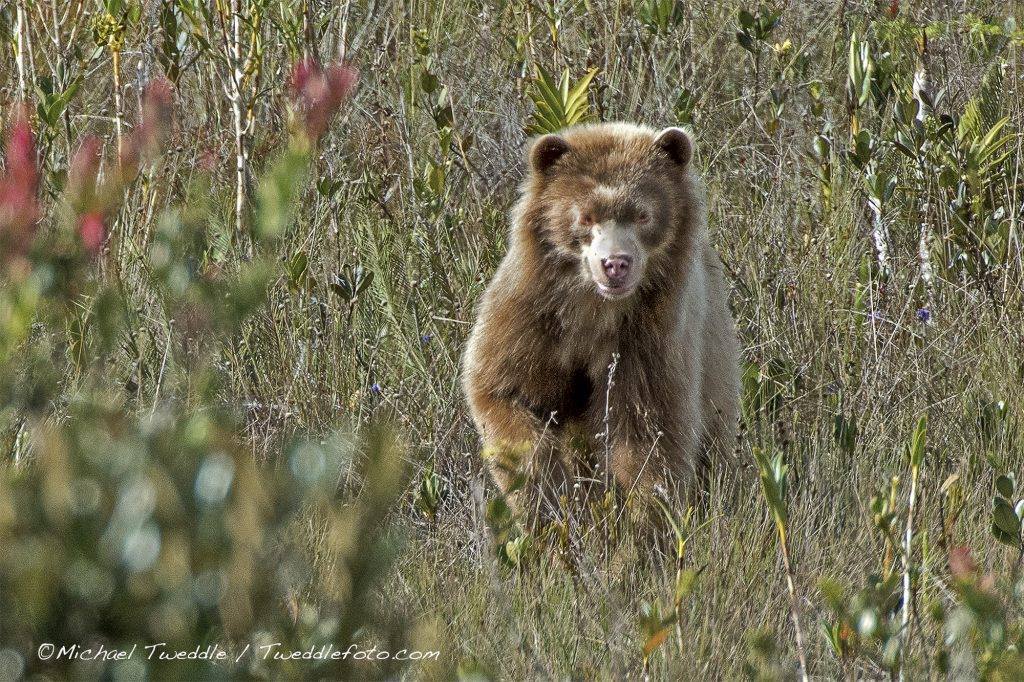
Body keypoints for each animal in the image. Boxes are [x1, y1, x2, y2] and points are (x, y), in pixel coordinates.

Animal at [462, 120, 737, 516]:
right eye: (585, 215)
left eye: (642, 214)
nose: (615, 263)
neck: (593, 310)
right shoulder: (531, 320)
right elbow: (504, 392)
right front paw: (548, 496)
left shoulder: (650, 339)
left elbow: (647, 433)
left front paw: (642, 518)